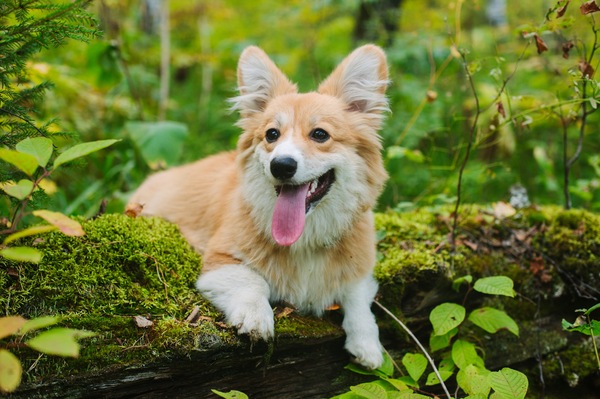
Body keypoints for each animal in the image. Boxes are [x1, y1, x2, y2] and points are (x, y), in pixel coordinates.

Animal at [126, 45, 390, 370]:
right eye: (271, 135)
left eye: (320, 134)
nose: (282, 165)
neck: (305, 238)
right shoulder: (218, 261)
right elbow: (253, 281)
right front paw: (256, 317)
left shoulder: (361, 271)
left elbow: (358, 298)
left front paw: (367, 343)